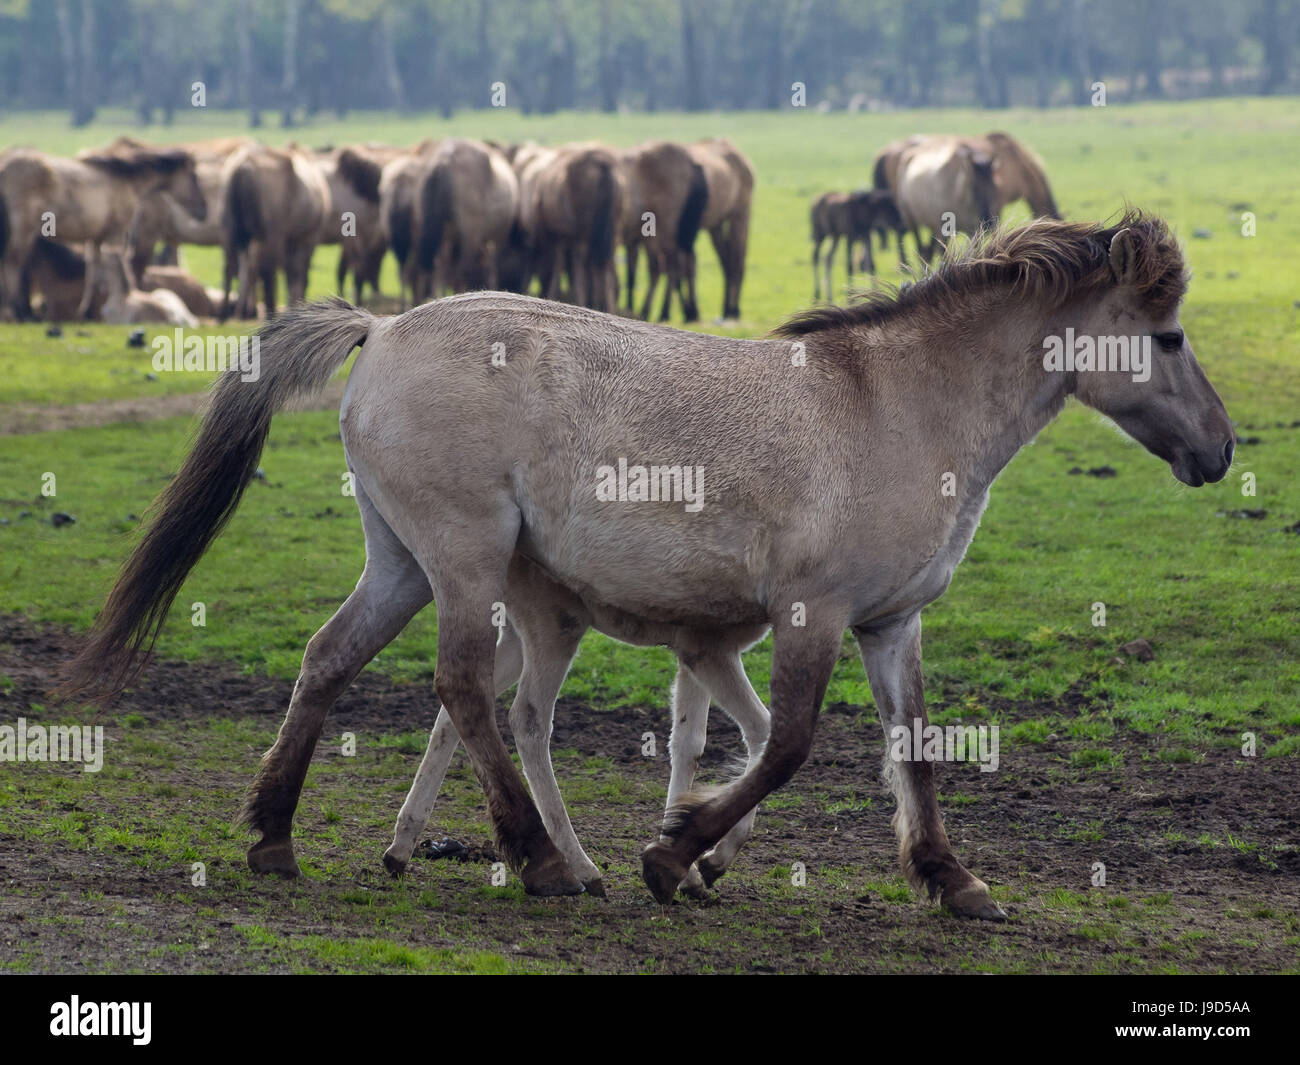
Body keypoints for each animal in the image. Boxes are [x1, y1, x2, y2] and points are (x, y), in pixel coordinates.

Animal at [0, 142, 205, 320]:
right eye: (194, 176)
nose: (203, 211)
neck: (127, 179)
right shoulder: (116, 234)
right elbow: (118, 263)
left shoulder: (96, 238)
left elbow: (94, 271)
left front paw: (86, 311)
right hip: (24, 229)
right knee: (13, 262)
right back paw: (15, 311)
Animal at [61, 213, 1234, 919]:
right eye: (1170, 336)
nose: (1221, 450)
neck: (896, 406)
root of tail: (382, 329)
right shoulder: (809, 614)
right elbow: (786, 745)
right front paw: (676, 852)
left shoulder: (890, 624)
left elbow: (915, 750)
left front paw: (951, 879)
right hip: (466, 564)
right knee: (467, 692)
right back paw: (540, 859)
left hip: (401, 562)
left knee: (328, 659)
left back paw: (273, 836)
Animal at [219, 143, 330, 320]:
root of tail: (243, 166)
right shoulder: (309, 236)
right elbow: (299, 275)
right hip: (273, 234)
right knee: (268, 270)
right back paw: (269, 311)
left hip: (230, 229)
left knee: (232, 267)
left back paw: (228, 312)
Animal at [619, 141, 709, 322]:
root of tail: (691, 162)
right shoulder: (633, 240)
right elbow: (631, 275)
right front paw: (628, 308)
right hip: (673, 235)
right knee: (680, 264)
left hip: (668, 233)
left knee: (673, 266)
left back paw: (665, 311)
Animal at [687, 138, 754, 320]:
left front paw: (691, 311)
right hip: (716, 224)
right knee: (727, 260)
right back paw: (726, 308)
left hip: (740, 215)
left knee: (737, 259)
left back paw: (734, 310)